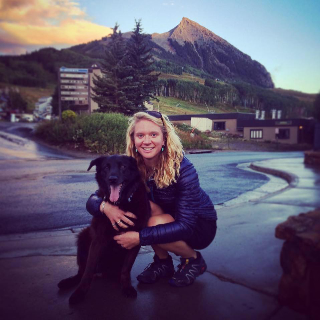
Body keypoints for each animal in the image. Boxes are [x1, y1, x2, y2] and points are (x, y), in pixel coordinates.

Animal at [57, 155, 150, 304]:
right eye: (106, 167)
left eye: (123, 166)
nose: (112, 179)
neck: (121, 203)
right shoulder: (98, 240)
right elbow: (88, 270)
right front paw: (79, 293)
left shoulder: (135, 240)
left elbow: (126, 268)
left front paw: (126, 287)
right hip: (83, 236)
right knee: (81, 272)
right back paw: (69, 281)